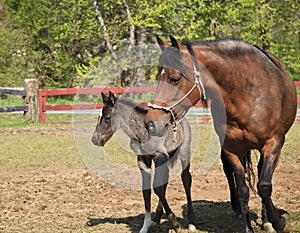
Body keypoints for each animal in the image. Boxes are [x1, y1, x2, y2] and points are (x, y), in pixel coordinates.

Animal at [92, 92, 197, 233]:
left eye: (108, 117)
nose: (95, 140)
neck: (143, 132)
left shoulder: (159, 156)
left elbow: (157, 187)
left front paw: (175, 224)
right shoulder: (143, 160)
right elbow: (147, 190)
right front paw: (145, 226)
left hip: (184, 153)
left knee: (186, 179)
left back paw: (191, 223)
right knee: (166, 180)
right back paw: (157, 218)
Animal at [145, 35, 298, 232]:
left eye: (174, 79)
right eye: (158, 77)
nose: (151, 122)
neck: (247, 94)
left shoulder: (274, 143)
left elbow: (264, 186)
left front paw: (277, 221)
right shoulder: (231, 149)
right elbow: (243, 189)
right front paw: (248, 227)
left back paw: (266, 220)